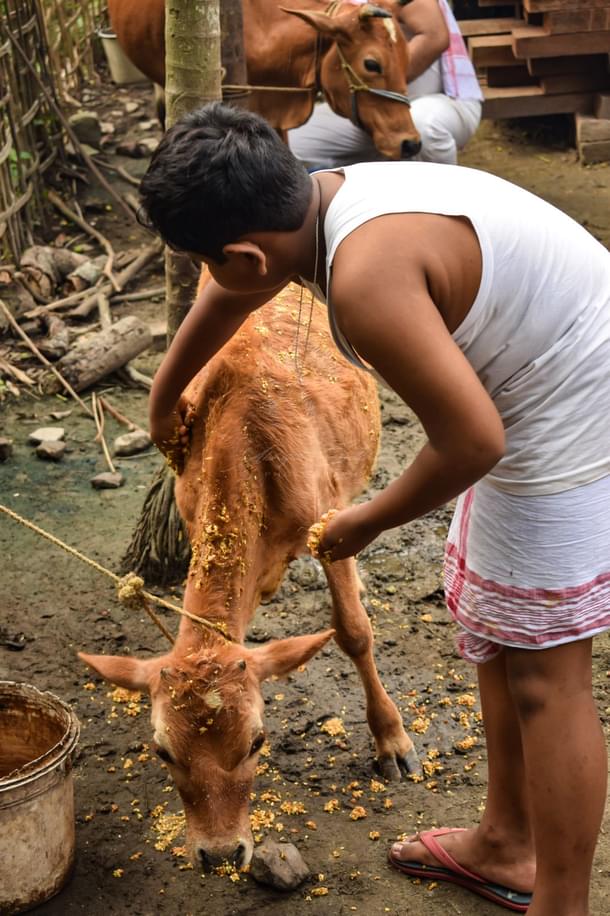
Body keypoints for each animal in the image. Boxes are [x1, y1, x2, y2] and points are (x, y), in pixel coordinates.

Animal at [80, 277, 419, 870]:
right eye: (161, 749)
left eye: (258, 741)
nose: (218, 854)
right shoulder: (192, 516)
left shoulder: (327, 517)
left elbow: (354, 632)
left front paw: (392, 742)